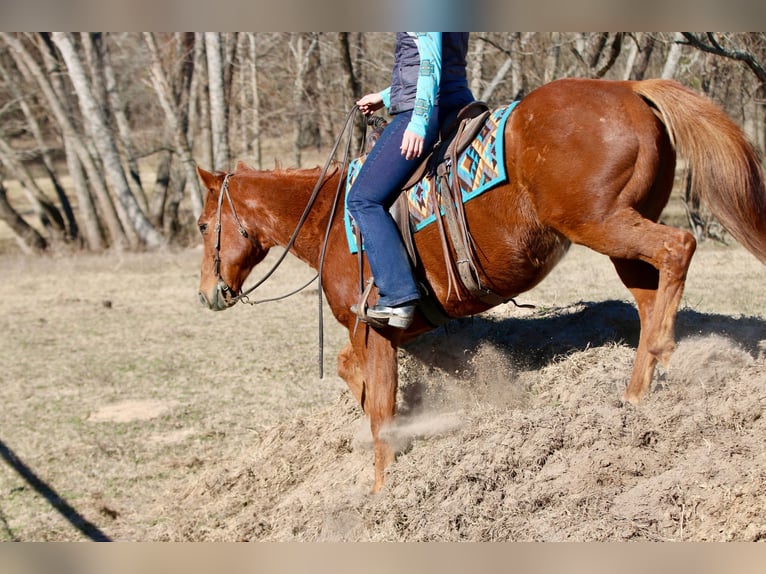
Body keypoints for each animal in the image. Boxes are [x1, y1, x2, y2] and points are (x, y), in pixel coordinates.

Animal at [196, 78, 766, 493]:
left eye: (203, 226)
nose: (208, 294)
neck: (334, 217)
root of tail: (629, 87)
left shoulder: (373, 329)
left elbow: (379, 407)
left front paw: (382, 487)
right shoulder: (399, 329)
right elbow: (353, 375)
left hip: (602, 223)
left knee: (678, 246)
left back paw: (666, 351)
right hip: (621, 237)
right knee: (650, 301)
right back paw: (634, 396)